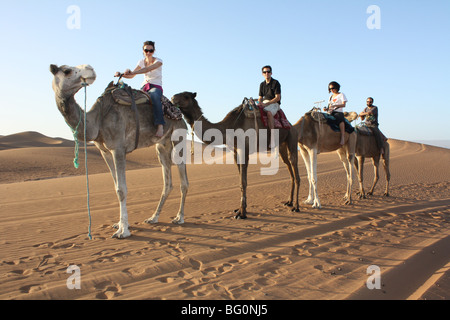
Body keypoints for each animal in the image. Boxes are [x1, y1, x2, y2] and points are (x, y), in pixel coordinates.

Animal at [50, 64, 189, 238]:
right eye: (67, 70)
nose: (90, 69)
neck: (98, 118)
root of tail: (180, 115)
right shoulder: (104, 151)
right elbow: (116, 187)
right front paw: (119, 224)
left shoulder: (118, 148)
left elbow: (121, 190)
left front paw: (123, 231)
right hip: (162, 145)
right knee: (167, 183)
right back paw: (153, 217)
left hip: (179, 138)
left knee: (184, 182)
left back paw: (179, 218)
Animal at [171, 91, 300, 219]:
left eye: (186, 96)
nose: (172, 98)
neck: (228, 127)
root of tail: (291, 124)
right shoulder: (234, 152)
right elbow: (240, 181)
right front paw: (240, 209)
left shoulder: (244, 150)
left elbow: (243, 182)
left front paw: (242, 213)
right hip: (282, 145)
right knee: (289, 167)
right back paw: (289, 202)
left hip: (292, 138)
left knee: (295, 168)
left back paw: (296, 207)